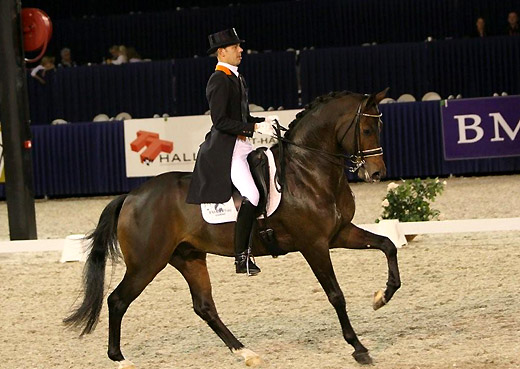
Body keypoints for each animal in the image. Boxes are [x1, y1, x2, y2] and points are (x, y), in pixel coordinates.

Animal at [64, 87, 402, 366]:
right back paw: (120, 359)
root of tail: (131, 196)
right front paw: (358, 348)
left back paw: (246, 352)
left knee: (204, 307)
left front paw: (382, 297)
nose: (376, 173)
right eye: (367, 129)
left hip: (188, 257)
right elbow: (335, 294)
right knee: (117, 300)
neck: (308, 171)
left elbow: (387, 245)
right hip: (147, 263)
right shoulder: (314, 244)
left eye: (380, 128)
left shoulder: (338, 233)